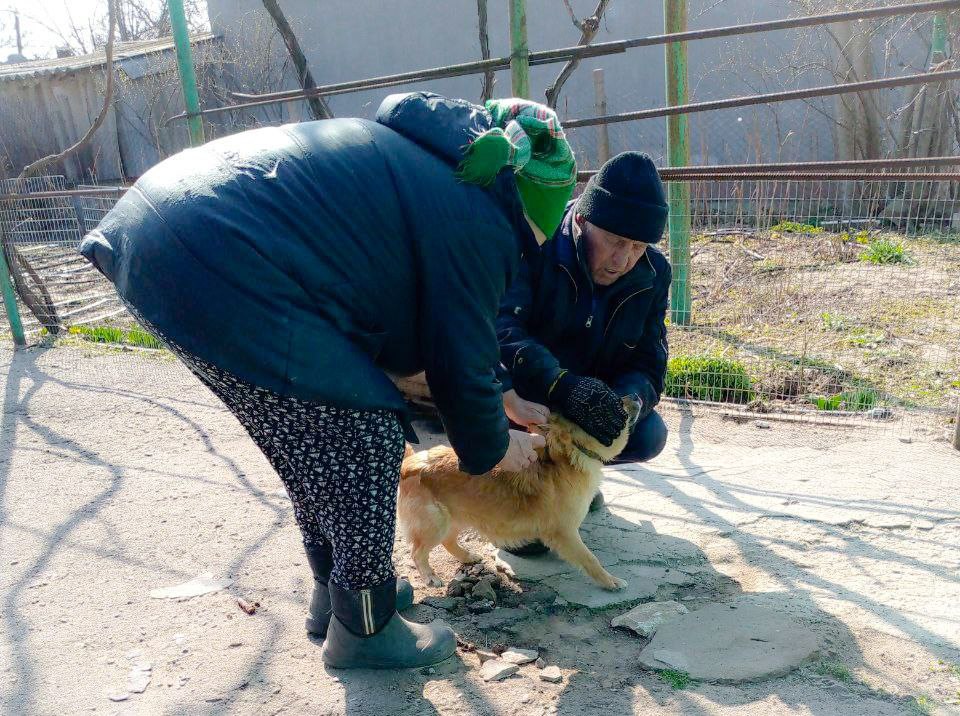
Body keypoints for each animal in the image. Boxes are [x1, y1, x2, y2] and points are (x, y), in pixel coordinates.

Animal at [396, 400, 636, 592]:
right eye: (608, 408)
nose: (635, 397)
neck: (569, 456)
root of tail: (409, 463)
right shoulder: (566, 533)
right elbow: (590, 559)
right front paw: (610, 581)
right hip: (435, 523)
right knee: (418, 552)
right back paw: (430, 576)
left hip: (455, 517)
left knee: (447, 541)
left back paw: (467, 556)